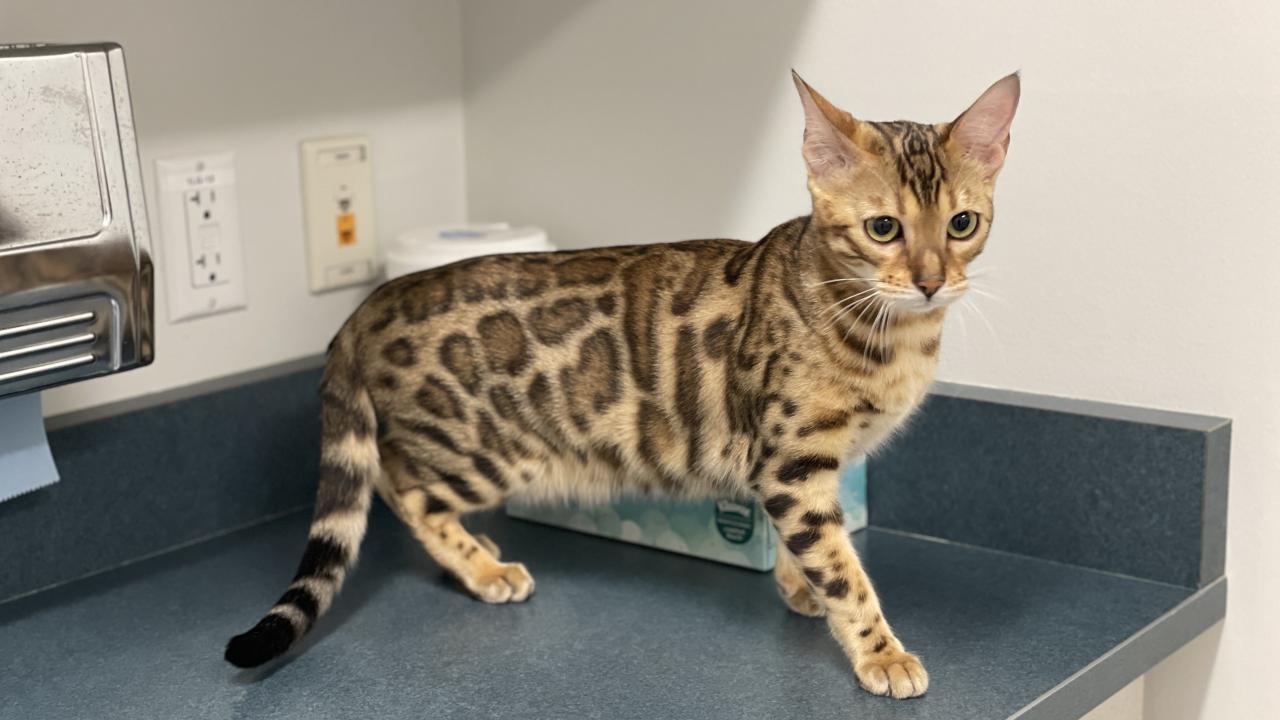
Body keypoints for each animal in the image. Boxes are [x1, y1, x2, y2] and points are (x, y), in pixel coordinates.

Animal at [222, 71, 1018, 696]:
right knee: (399, 482)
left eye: (962, 223)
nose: (931, 282)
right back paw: (482, 568)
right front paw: (879, 652)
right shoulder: (790, 462)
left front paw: (799, 587)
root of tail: (372, 301)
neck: (891, 336)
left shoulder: (803, 469)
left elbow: (813, 549)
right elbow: (842, 569)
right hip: (487, 450)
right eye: (883, 228)